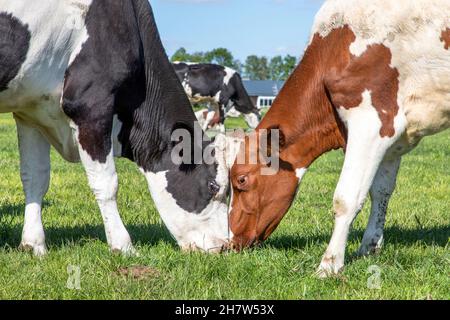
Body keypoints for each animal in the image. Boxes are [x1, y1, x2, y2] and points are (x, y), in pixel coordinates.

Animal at [0, 0, 232, 255]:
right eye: (213, 186)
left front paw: (34, 244)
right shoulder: (91, 105)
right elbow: (106, 183)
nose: (225, 245)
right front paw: (123, 245)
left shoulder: (31, 111)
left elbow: (35, 178)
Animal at [229, 0, 450, 278]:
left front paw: (329, 264)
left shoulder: (371, 121)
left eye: (241, 179)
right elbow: (380, 191)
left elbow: (346, 198)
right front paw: (369, 246)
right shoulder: (393, 136)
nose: (230, 241)